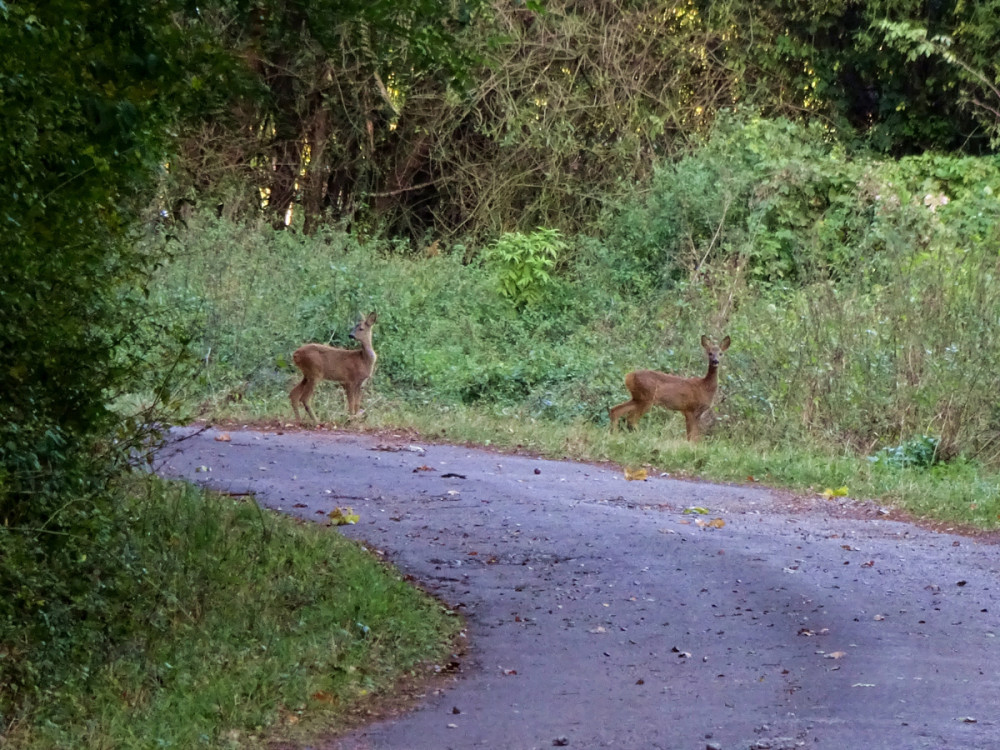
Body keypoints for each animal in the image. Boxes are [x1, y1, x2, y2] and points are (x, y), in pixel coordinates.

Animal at [604, 334, 732, 440]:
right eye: (709, 353)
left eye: (721, 353)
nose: (715, 361)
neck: (704, 387)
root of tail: (628, 377)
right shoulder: (690, 408)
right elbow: (691, 436)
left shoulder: (695, 412)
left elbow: (693, 436)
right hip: (647, 398)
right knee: (631, 419)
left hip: (637, 398)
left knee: (616, 410)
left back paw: (614, 434)